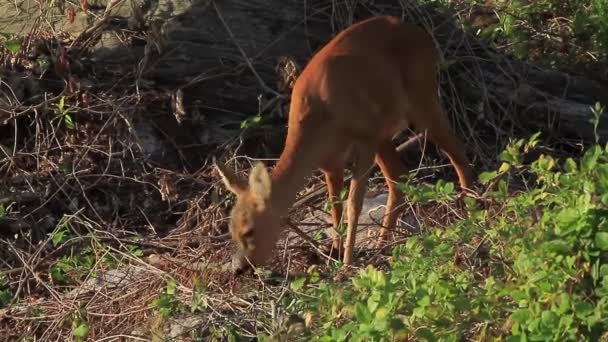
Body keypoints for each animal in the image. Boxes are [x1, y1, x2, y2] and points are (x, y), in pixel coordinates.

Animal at [214, 16, 476, 274]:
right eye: (231, 230)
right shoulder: (330, 160)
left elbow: (353, 203)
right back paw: (382, 244)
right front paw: (334, 253)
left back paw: (472, 212)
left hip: (421, 96)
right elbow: (335, 206)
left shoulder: (366, 137)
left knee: (456, 148)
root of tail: (422, 35)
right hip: (385, 132)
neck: (317, 122)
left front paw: (347, 261)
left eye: (249, 230)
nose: (239, 268)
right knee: (398, 177)